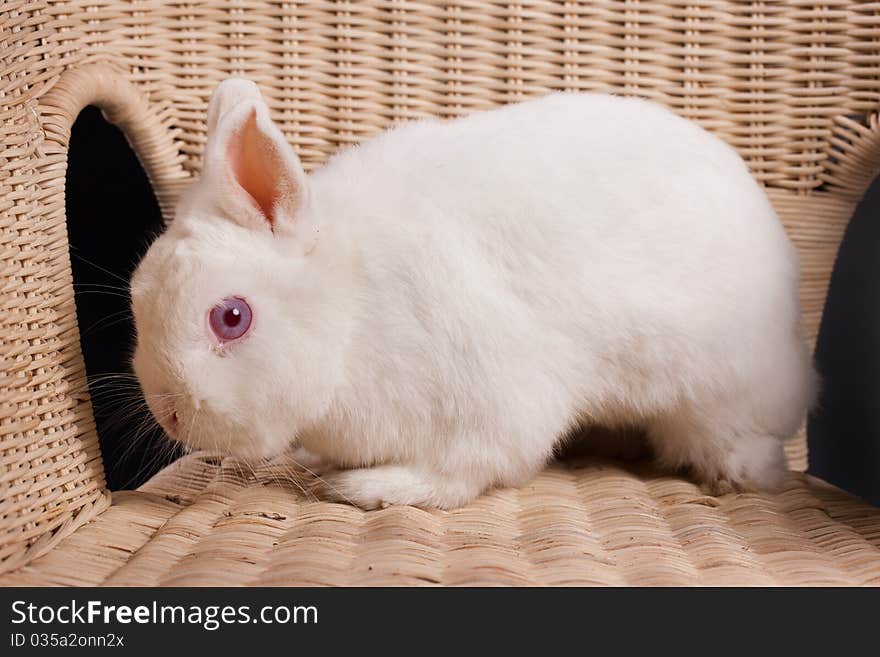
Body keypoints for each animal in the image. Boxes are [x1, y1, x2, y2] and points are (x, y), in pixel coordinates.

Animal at [131, 78, 820, 508]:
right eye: (137, 295)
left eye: (231, 317)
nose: (169, 413)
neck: (349, 311)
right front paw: (322, 464)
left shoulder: (489, 399)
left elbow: (464, 470)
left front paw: (372, 489)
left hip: (716, 398)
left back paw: (739, 473)